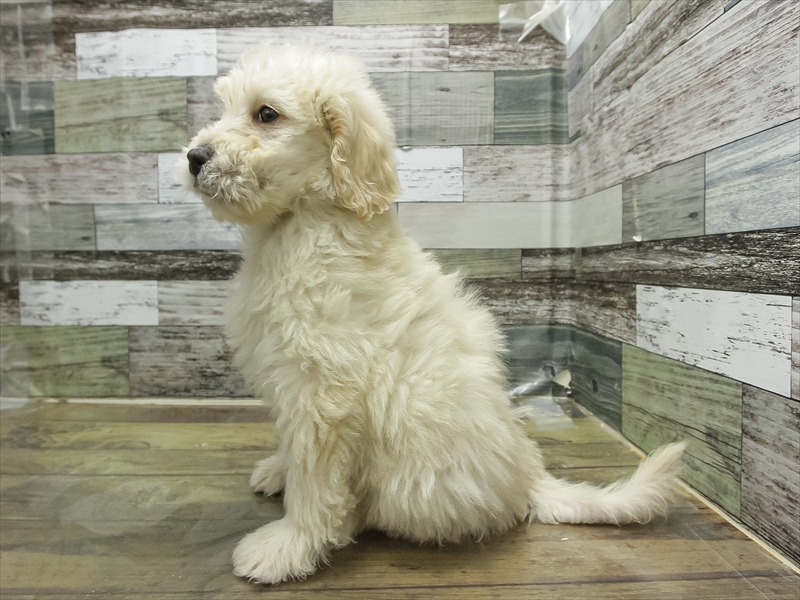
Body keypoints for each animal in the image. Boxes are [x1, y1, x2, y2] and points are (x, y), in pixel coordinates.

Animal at [184, 43, 686, 585]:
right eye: (225, 108)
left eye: (266, 114)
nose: (193, 157)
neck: (298, 223)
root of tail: (527, 475)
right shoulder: (291, 377)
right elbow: (290, 442)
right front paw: (280, 469)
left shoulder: (323, 392)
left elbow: (315, 478)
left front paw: (288, 546)